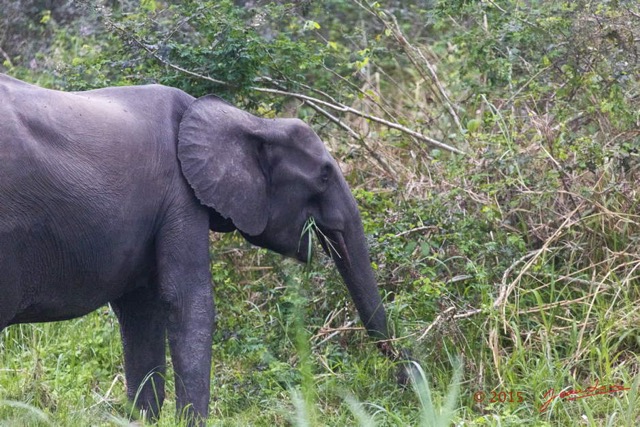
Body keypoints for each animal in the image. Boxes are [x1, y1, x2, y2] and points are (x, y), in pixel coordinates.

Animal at [0, 73, 400, 424]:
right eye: (324, 175)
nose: (402, 373)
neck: (249, 120)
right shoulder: (179, 194)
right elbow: (187, 300)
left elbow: (141, 310)